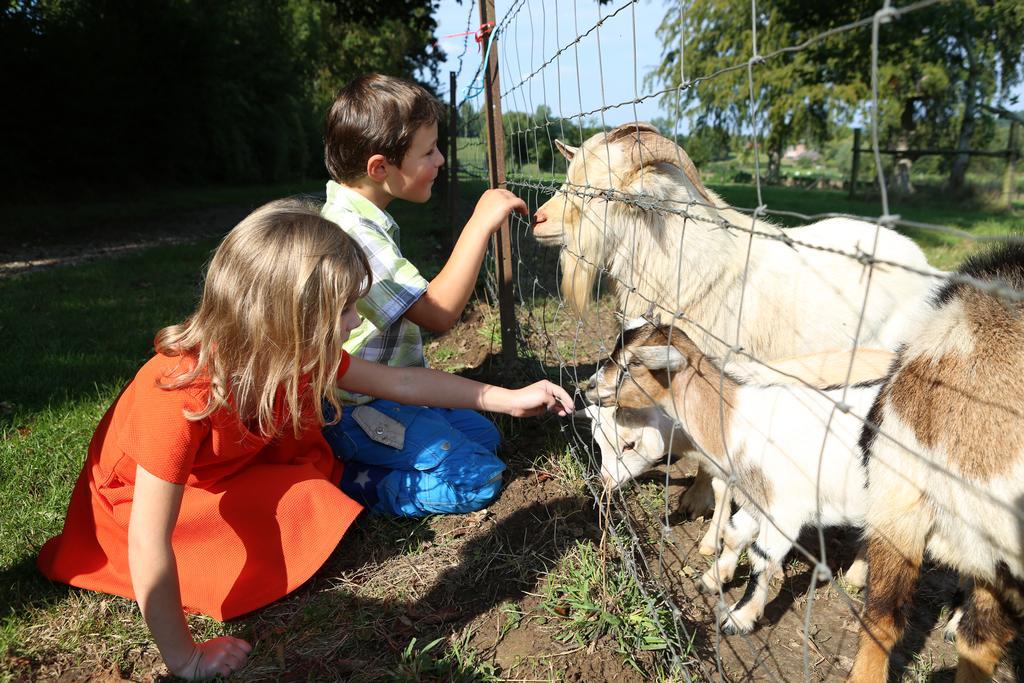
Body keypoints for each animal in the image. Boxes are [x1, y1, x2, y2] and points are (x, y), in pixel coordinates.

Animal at [585, 321, 880, 634]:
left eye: (634, 363)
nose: (589, 387)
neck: (736, 418)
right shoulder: (753, 496)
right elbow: (736, 533)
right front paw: (713, 578)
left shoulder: (785, 510)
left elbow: (761, 556)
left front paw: (740, 616)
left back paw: (857, 576)